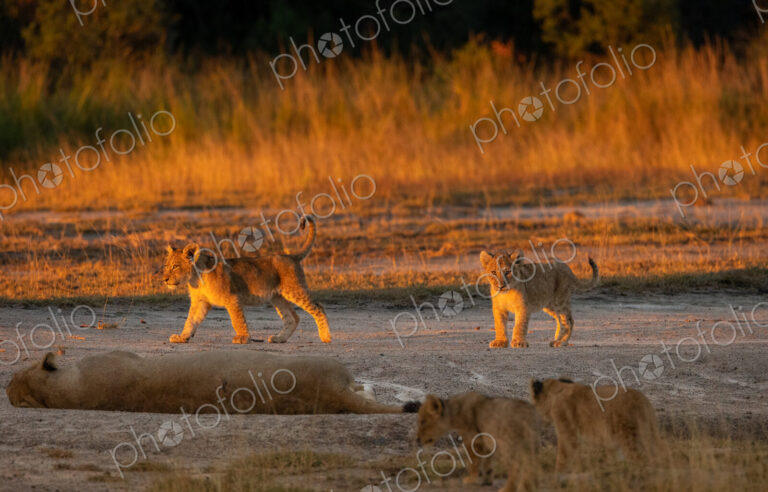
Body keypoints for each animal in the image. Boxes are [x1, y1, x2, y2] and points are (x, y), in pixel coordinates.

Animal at [163, 215, 330, 344]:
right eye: (166, 266)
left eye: (175, 266)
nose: (164, 279)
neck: (195, 279)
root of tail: (291, 256)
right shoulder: (201, 301)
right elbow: (190, 320)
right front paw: (182, 337)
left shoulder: (232, 297)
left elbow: (237, 319)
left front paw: (243, 338)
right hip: (278, 297)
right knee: (293, 318)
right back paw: (279, 338)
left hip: (295, 290)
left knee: (318, 307)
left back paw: (326, 337)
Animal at [530, 378, 662, 472]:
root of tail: (644, 400)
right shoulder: (610, 443)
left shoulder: (567, 433)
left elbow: (563, 456)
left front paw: (557, 474)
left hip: (630, 438)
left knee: (642, 460)